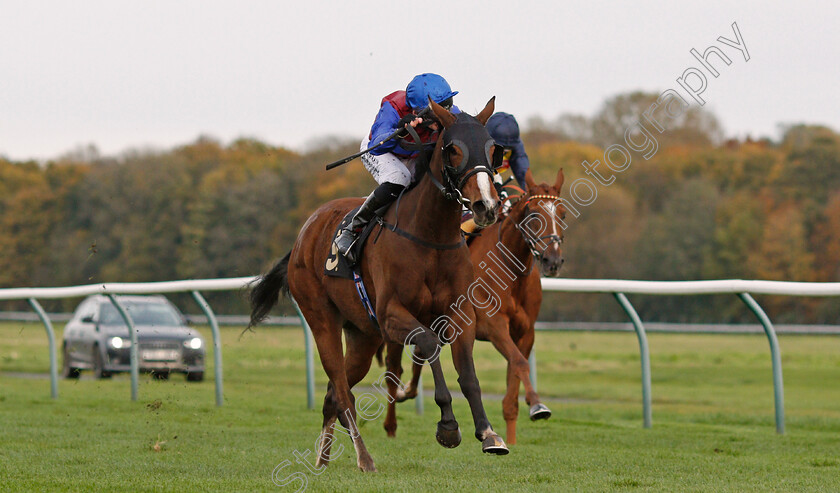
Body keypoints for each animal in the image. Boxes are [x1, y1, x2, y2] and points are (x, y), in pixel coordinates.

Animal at [248, 98, 512, 470]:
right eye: (453, 149)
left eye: (492, 149)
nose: (485, 206)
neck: (430, 236)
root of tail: (303, 234)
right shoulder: (391, 315)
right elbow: (429, 344)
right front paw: (447, 426)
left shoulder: (460, 314)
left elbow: (469, 375)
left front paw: (490, 434)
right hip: (323, 321)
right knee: (342, 392)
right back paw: (364, 457)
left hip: (362, 335)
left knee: (332, 394)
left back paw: (323, 460)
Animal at [384, 167, 568, 444]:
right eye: (534, 214)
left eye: (562, 213)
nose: (553, 261)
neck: (510, 271)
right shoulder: (493, 326)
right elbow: (520, 362)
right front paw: (537, 404)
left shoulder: (525, 332)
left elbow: (515, 372)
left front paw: (511, 433)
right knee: (393, 368)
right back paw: (391, 422)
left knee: (419, 353)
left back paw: (408, 392)